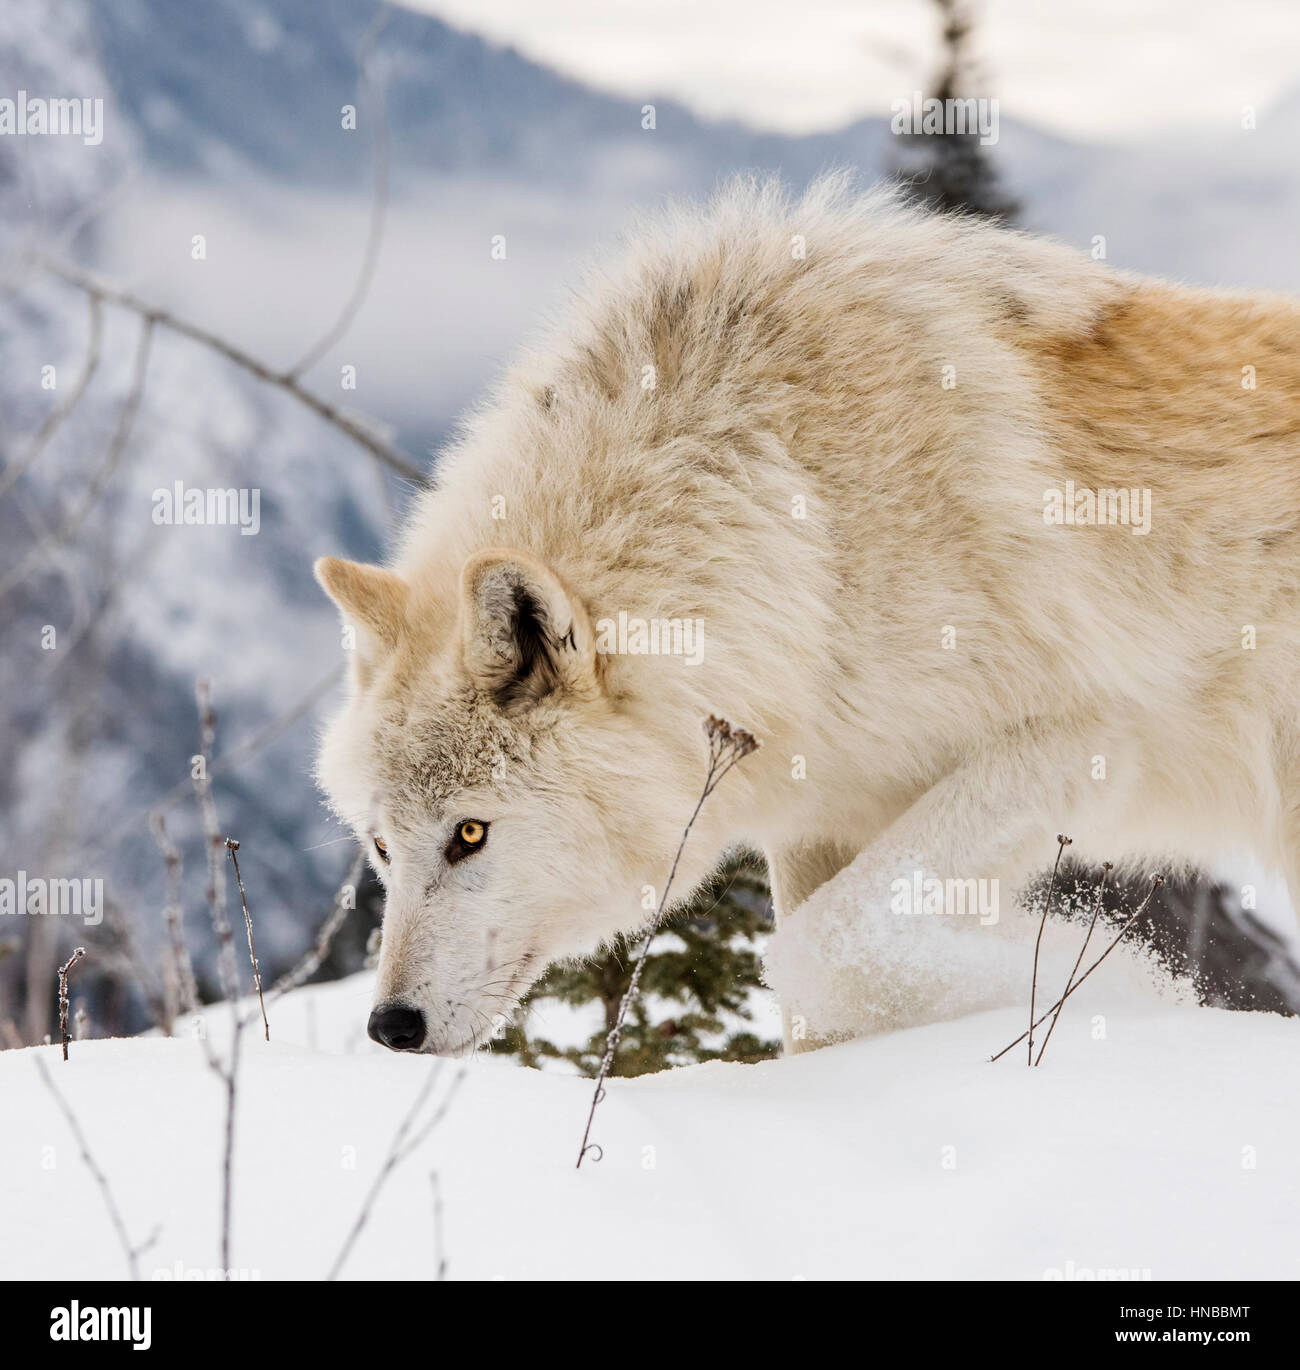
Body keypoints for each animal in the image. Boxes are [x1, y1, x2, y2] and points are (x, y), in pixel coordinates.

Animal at [314, 175, 1300, 1055]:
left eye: (470, 834)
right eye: (382, 848)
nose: (389, 1026)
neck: (805, 524)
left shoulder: (1079, 740)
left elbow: (820, 950)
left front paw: (1118, 991)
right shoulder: (820, 816)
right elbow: (812, 1011)